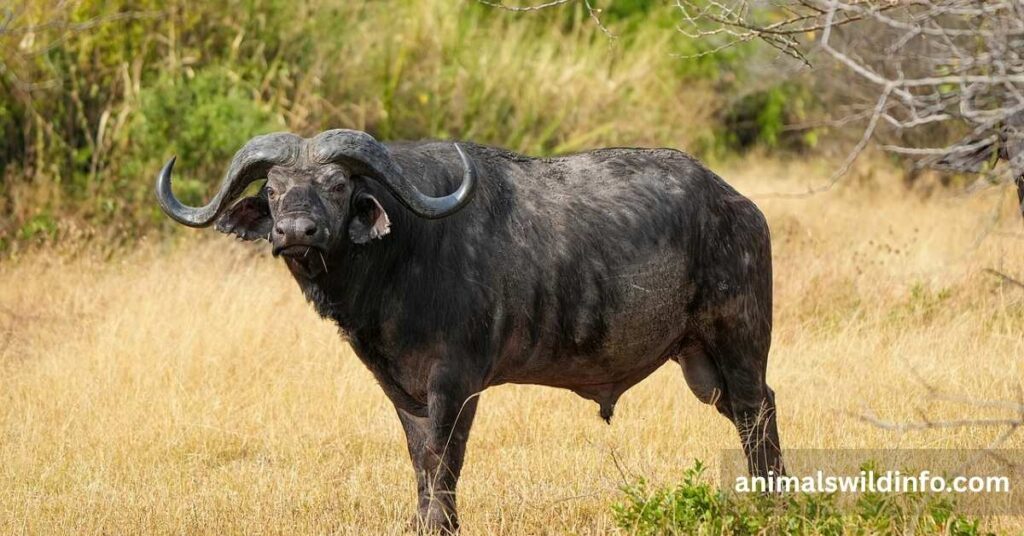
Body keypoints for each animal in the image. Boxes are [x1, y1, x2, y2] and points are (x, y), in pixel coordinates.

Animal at [156, 129, 784, 532]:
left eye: (336, 185)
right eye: (273, 188)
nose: (294, 231)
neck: (402, 254)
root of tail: (739, 205)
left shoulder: (456, 386)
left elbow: (444, 461)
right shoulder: (403, 393)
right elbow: (420, 462)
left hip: (740, 345)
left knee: (758, 414)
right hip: (702, 367)